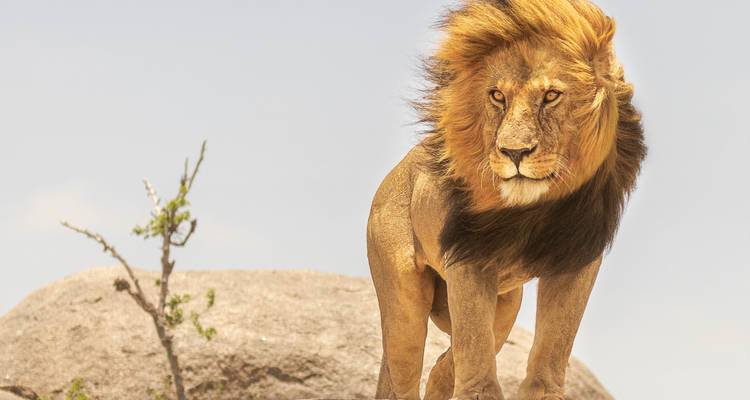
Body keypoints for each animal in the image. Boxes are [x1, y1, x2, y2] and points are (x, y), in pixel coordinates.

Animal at [367, 1, 646, 399]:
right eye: (497, 96)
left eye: (551, 96)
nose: (514, 152)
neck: (537, 208)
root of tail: (393, 175)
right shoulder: (469, 256)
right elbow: (475, 351)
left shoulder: (578, 257)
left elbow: (554, 344)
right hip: (404, 302)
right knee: (405, 372)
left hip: (506, 303)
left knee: (443, 367)